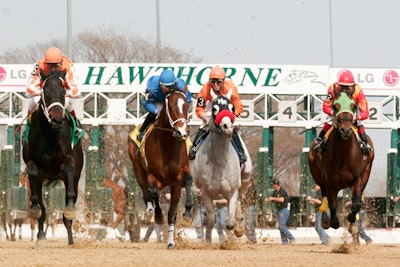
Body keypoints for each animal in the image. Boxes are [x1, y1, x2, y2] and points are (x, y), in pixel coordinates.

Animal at [22, 72, 83, 246]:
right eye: (46, 92)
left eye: (63, 92)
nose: (57, 119)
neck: (51, 134)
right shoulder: (34, 165)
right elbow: (33, 176)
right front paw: (35, 209)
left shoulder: (69, 162)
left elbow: (69, 180)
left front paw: (69, 211)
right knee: (42, 210)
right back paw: (41, 236)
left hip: (76, 177)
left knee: (70, 205)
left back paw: (70, 240)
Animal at [126, 90, 192, 249]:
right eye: (172, 107)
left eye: (186, 106)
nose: (182, 132)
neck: (168, 144)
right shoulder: (153, 175)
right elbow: (154, 192)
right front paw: (158, 215)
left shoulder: (179, 177)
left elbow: (188, 181)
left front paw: (187, 213)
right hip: (137, 167)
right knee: (146, 191)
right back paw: (150, 210)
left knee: (172, 213)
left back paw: (170, 241)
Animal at [191, 90, 253, 245]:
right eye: (214, 108)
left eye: (232, 108)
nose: (227, 127)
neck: (219, 160)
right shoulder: (205, 192)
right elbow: (210, 220)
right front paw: (208, 241)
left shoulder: (232, 190)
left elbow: (229, 222)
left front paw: (237, 229)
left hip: (245, 177)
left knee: (239, 201)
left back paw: (239, 224)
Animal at [308, 92, 374, 230]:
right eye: (335, 106)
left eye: (353, 106)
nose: (346, 130)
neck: (344, 153)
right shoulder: (330, 182)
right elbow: (332, 203)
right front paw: (331, 221)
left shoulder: (357, 178)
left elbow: (356, 203)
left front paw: (352, 220)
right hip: (316, 173)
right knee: (324, 196)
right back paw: (325, 219)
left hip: (366, 173)